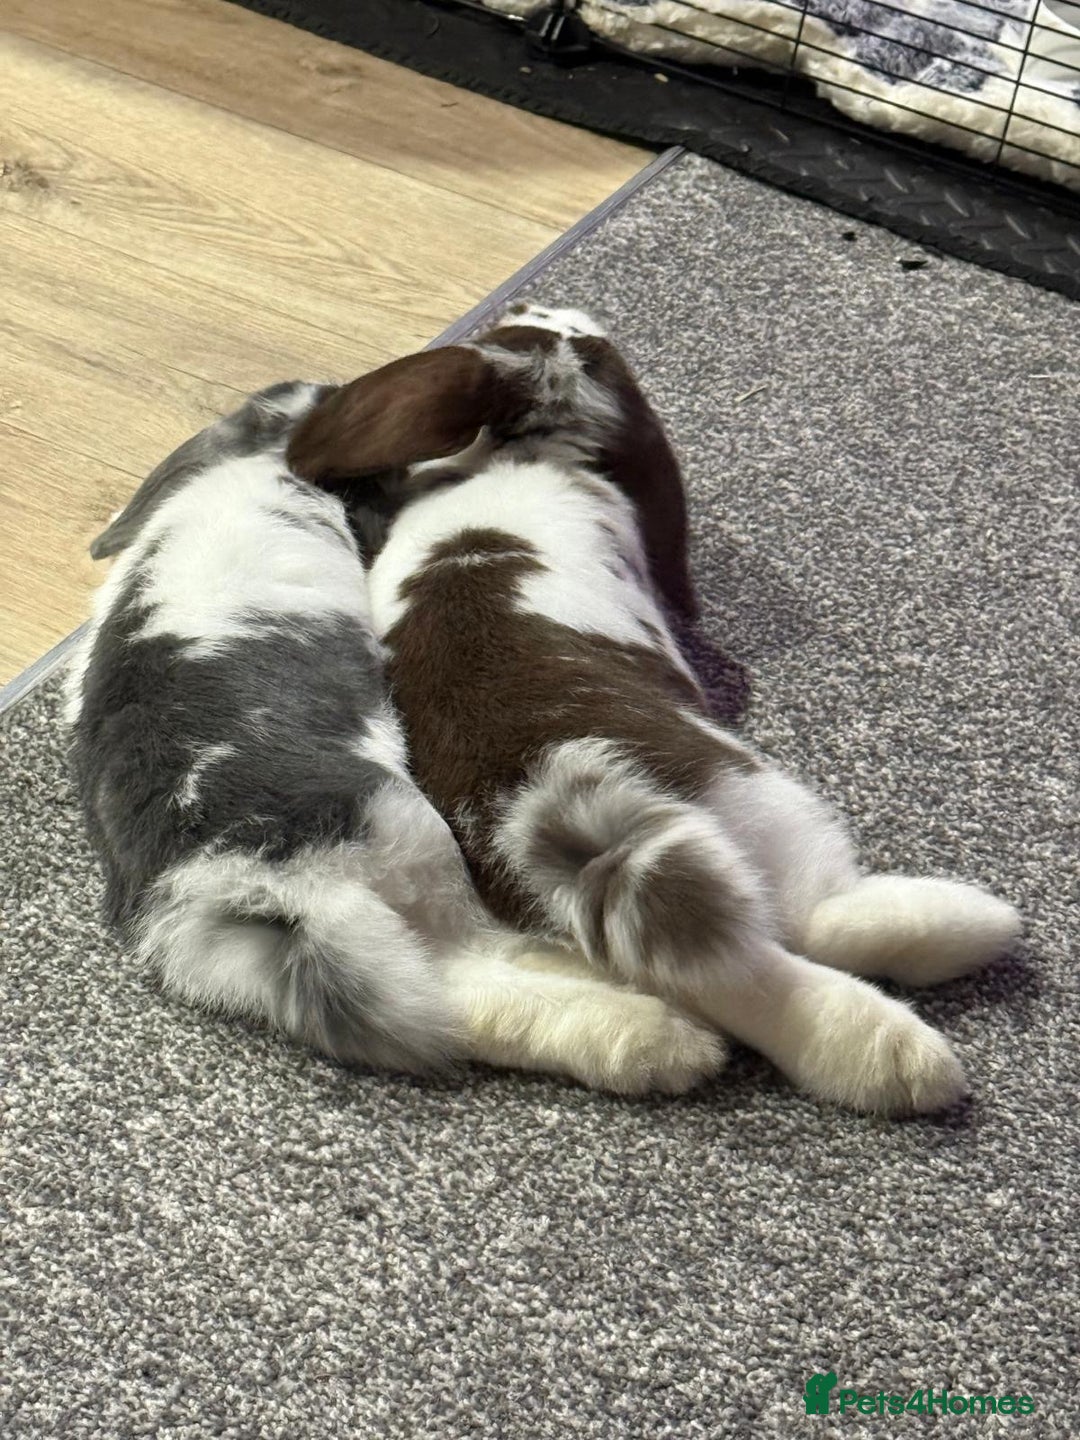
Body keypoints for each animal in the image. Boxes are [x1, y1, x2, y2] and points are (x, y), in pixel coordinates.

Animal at [65, 380, 725, 1095]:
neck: (265, 460)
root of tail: (255, 891)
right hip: (415, 839)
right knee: (473, 961)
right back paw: (676, 1041)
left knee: (466, 1001)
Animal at [286, 305, 1022, 1116]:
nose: (547, 308)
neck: (517, 453)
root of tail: (548, 795)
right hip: (757, 795)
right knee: (810, 921)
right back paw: (949, 974)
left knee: (740, 979)